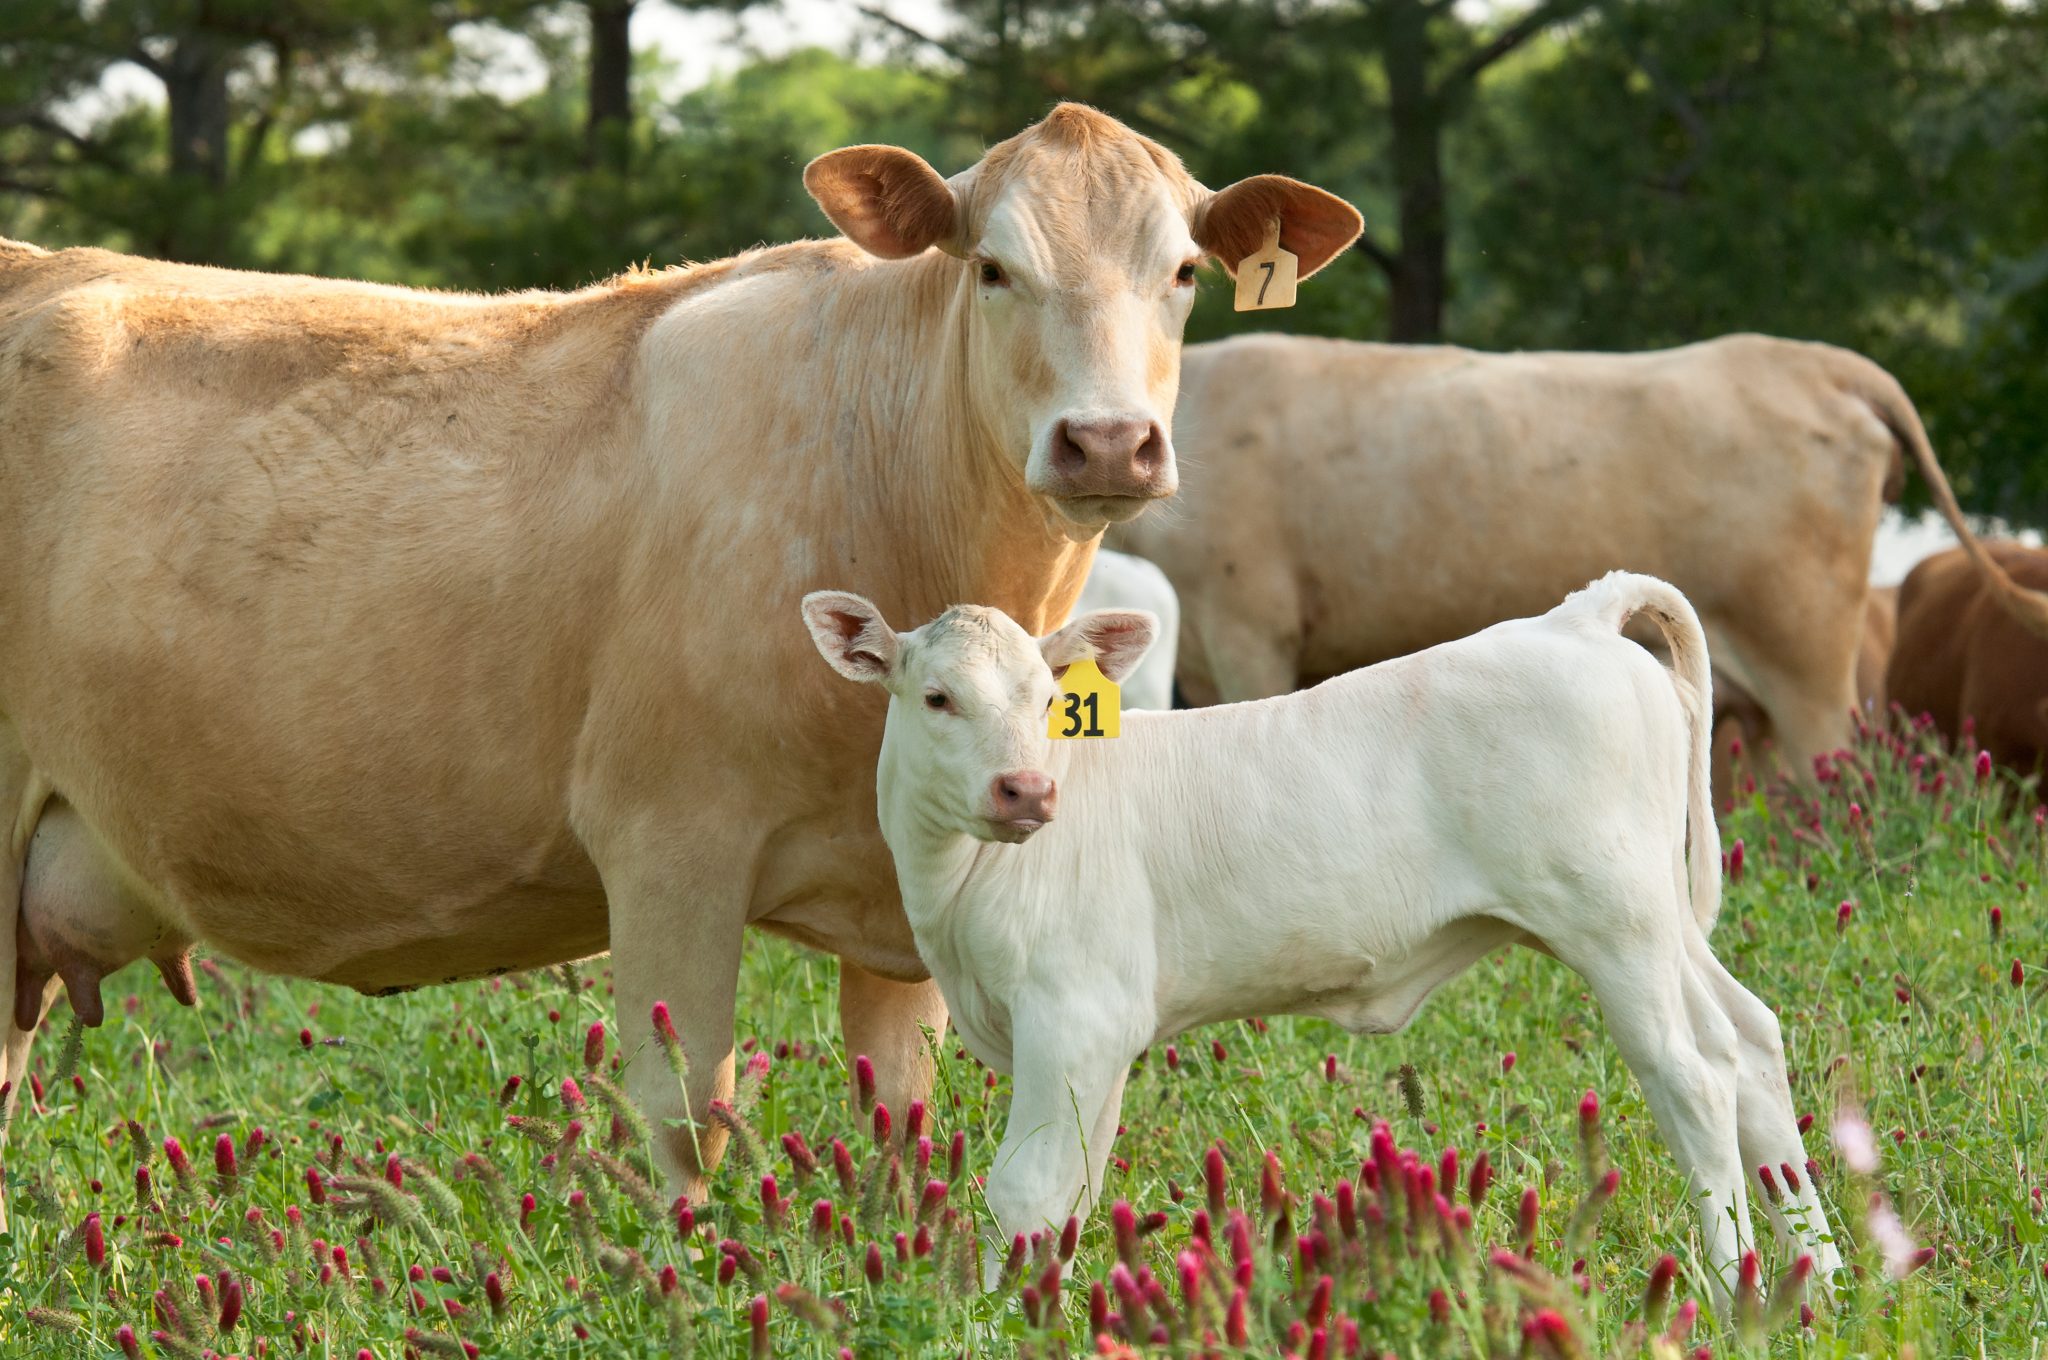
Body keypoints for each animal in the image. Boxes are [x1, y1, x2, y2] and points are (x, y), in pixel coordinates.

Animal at [802, 573, 1842, 1306]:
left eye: (1048, 698)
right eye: (937, 698)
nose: (1026, 789)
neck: (957, 891)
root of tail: (1572, 619)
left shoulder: (1074, 1016)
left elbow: (1022, 1194)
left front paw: (981, 1320)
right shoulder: (1086, 1047)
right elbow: (1070, 1197)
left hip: (1614, 925)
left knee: (1693, 1079)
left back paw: (1733, 1293)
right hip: (1658, 923)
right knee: (1750, 1046)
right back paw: (1819, 1280)